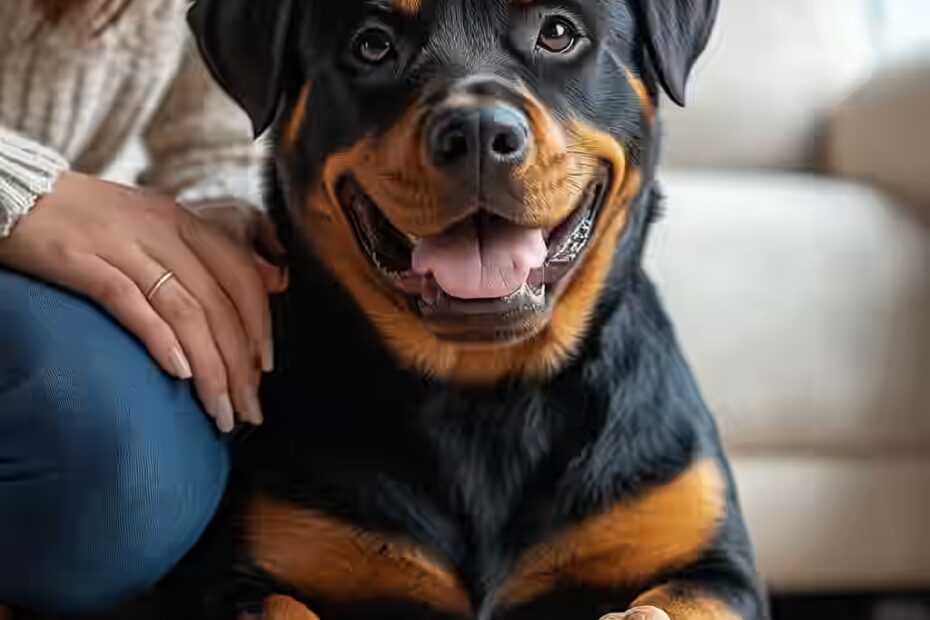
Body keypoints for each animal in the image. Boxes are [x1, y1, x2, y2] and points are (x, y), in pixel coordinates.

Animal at [183, 0, 768, 616]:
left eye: (558, 33)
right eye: (372, 45)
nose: (481, 130)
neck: (486, 394)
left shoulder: (712, 562)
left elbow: (679, 599)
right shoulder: (243, 568)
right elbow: (280, 604)